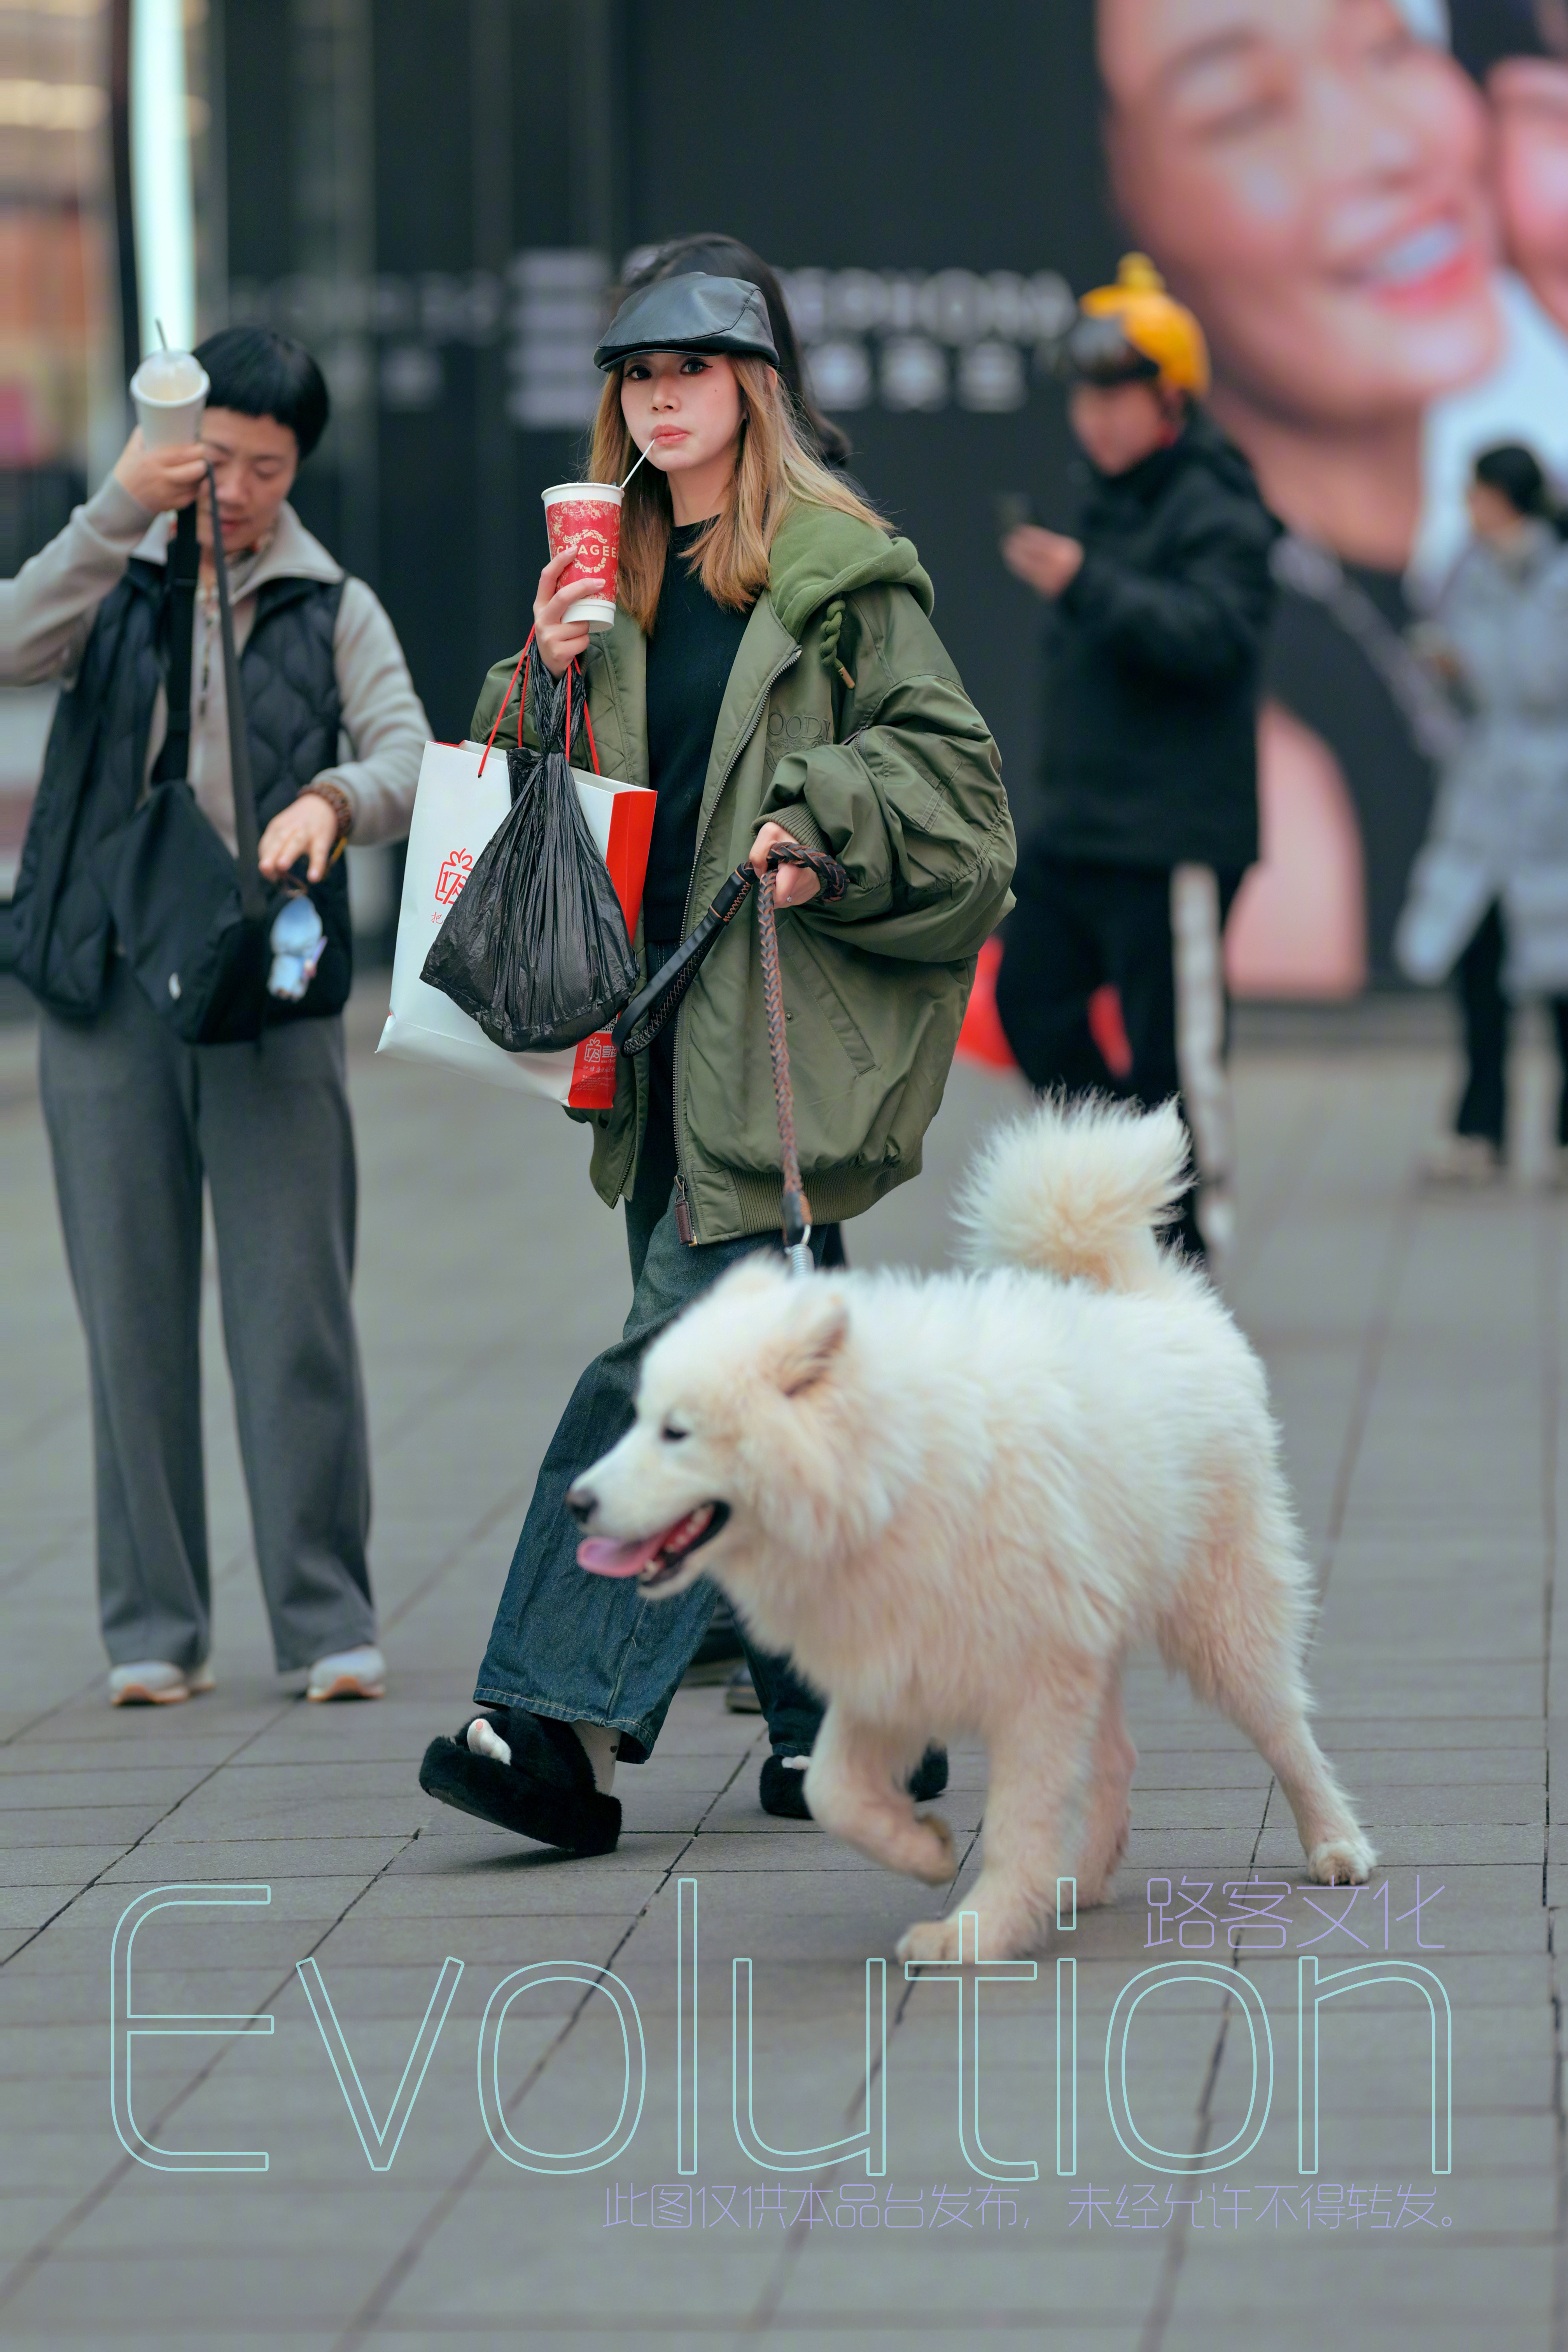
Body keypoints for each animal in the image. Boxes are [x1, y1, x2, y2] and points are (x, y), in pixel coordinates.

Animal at [571, 1101, 1363, 1966]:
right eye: (638, 1418)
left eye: (676, 1432)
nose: (576, 1502)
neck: (885, 1477)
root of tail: (1159, 1299)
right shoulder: (890, 1662)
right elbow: (829, 1789)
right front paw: (926, 1851)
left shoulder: (1032, 1683)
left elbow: (1017, 1819)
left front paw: (977, 1931)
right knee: (1120, 1759)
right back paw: (1078, 1884)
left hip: (1219, 1621)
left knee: (1286, 1730)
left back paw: (1336, 1846)